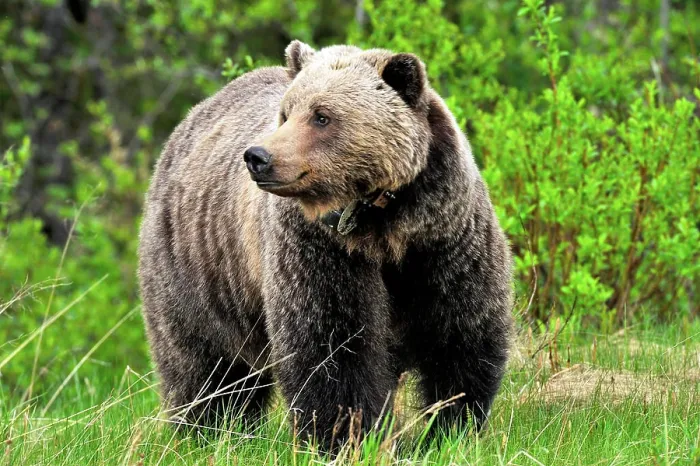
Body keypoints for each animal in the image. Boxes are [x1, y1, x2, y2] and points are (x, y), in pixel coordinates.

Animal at [138, 40, 514, 450]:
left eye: (321, 116)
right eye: (286, 113)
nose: (258, 157)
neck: (383, 226)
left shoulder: (443, 242)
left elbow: (459, 338)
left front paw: (448, 430)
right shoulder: (320, 249)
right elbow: (331, 347)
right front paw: (349, 436)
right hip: (198, 269)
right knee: (206, 367)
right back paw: (210, 431)